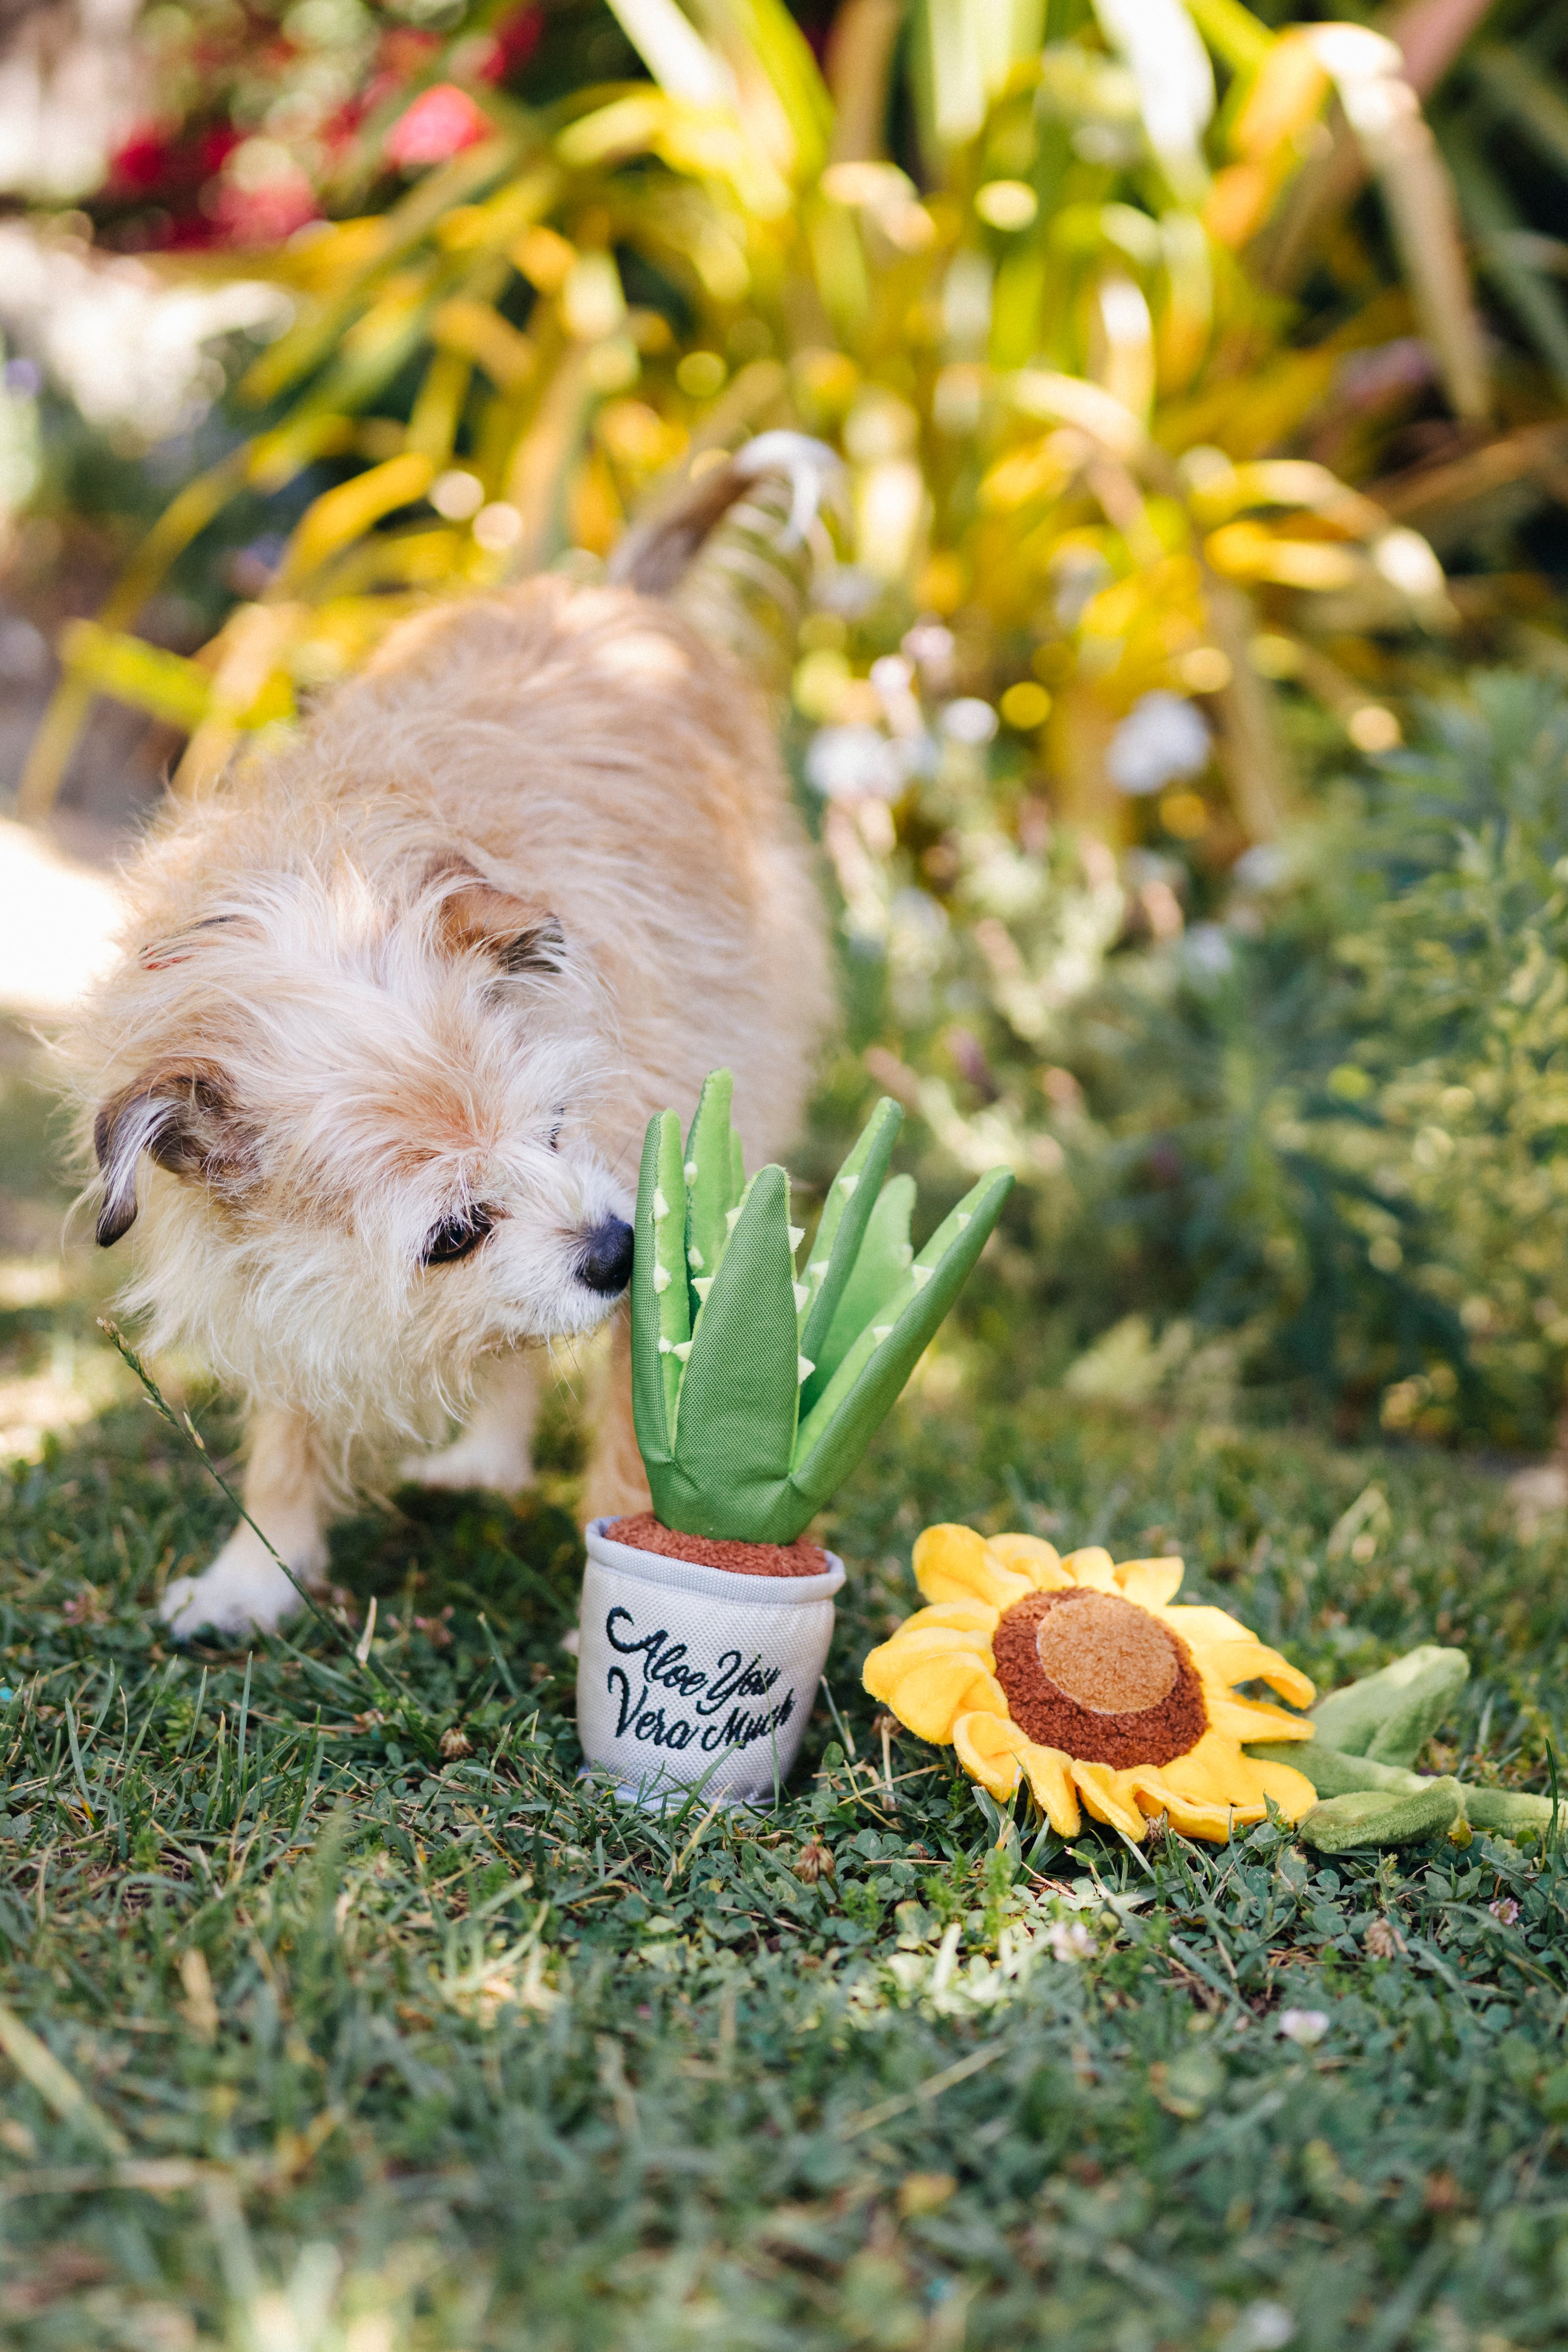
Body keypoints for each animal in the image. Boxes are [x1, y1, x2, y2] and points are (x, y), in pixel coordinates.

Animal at [65, 445, 832, 1637]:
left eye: (558, 1127)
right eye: (453, 1233)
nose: (616, 1251)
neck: (340, 888)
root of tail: (618, 594)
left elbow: (638, 1429)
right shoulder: (286, 1280)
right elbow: (292, 1416)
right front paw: (258, 1570)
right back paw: (486, 1459)